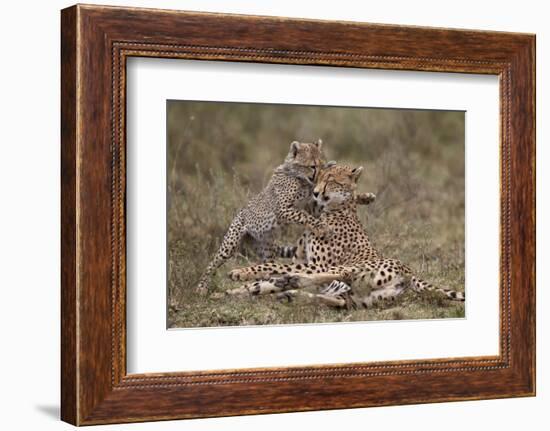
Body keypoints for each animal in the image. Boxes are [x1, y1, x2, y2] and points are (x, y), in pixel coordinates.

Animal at [227, 163, 466, 308]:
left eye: (332, 180)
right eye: (319, 178)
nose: (316, 193)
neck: (337, 208)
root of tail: (409, 271)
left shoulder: (317, 263)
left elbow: (274, 265)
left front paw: (241, 273)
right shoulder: (304, 259)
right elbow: (272, 272)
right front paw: (242, 287)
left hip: (350, 270)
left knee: (333, 275)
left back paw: (284, 283)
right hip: (363, 297)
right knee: (339, 300)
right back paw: (285, 291)